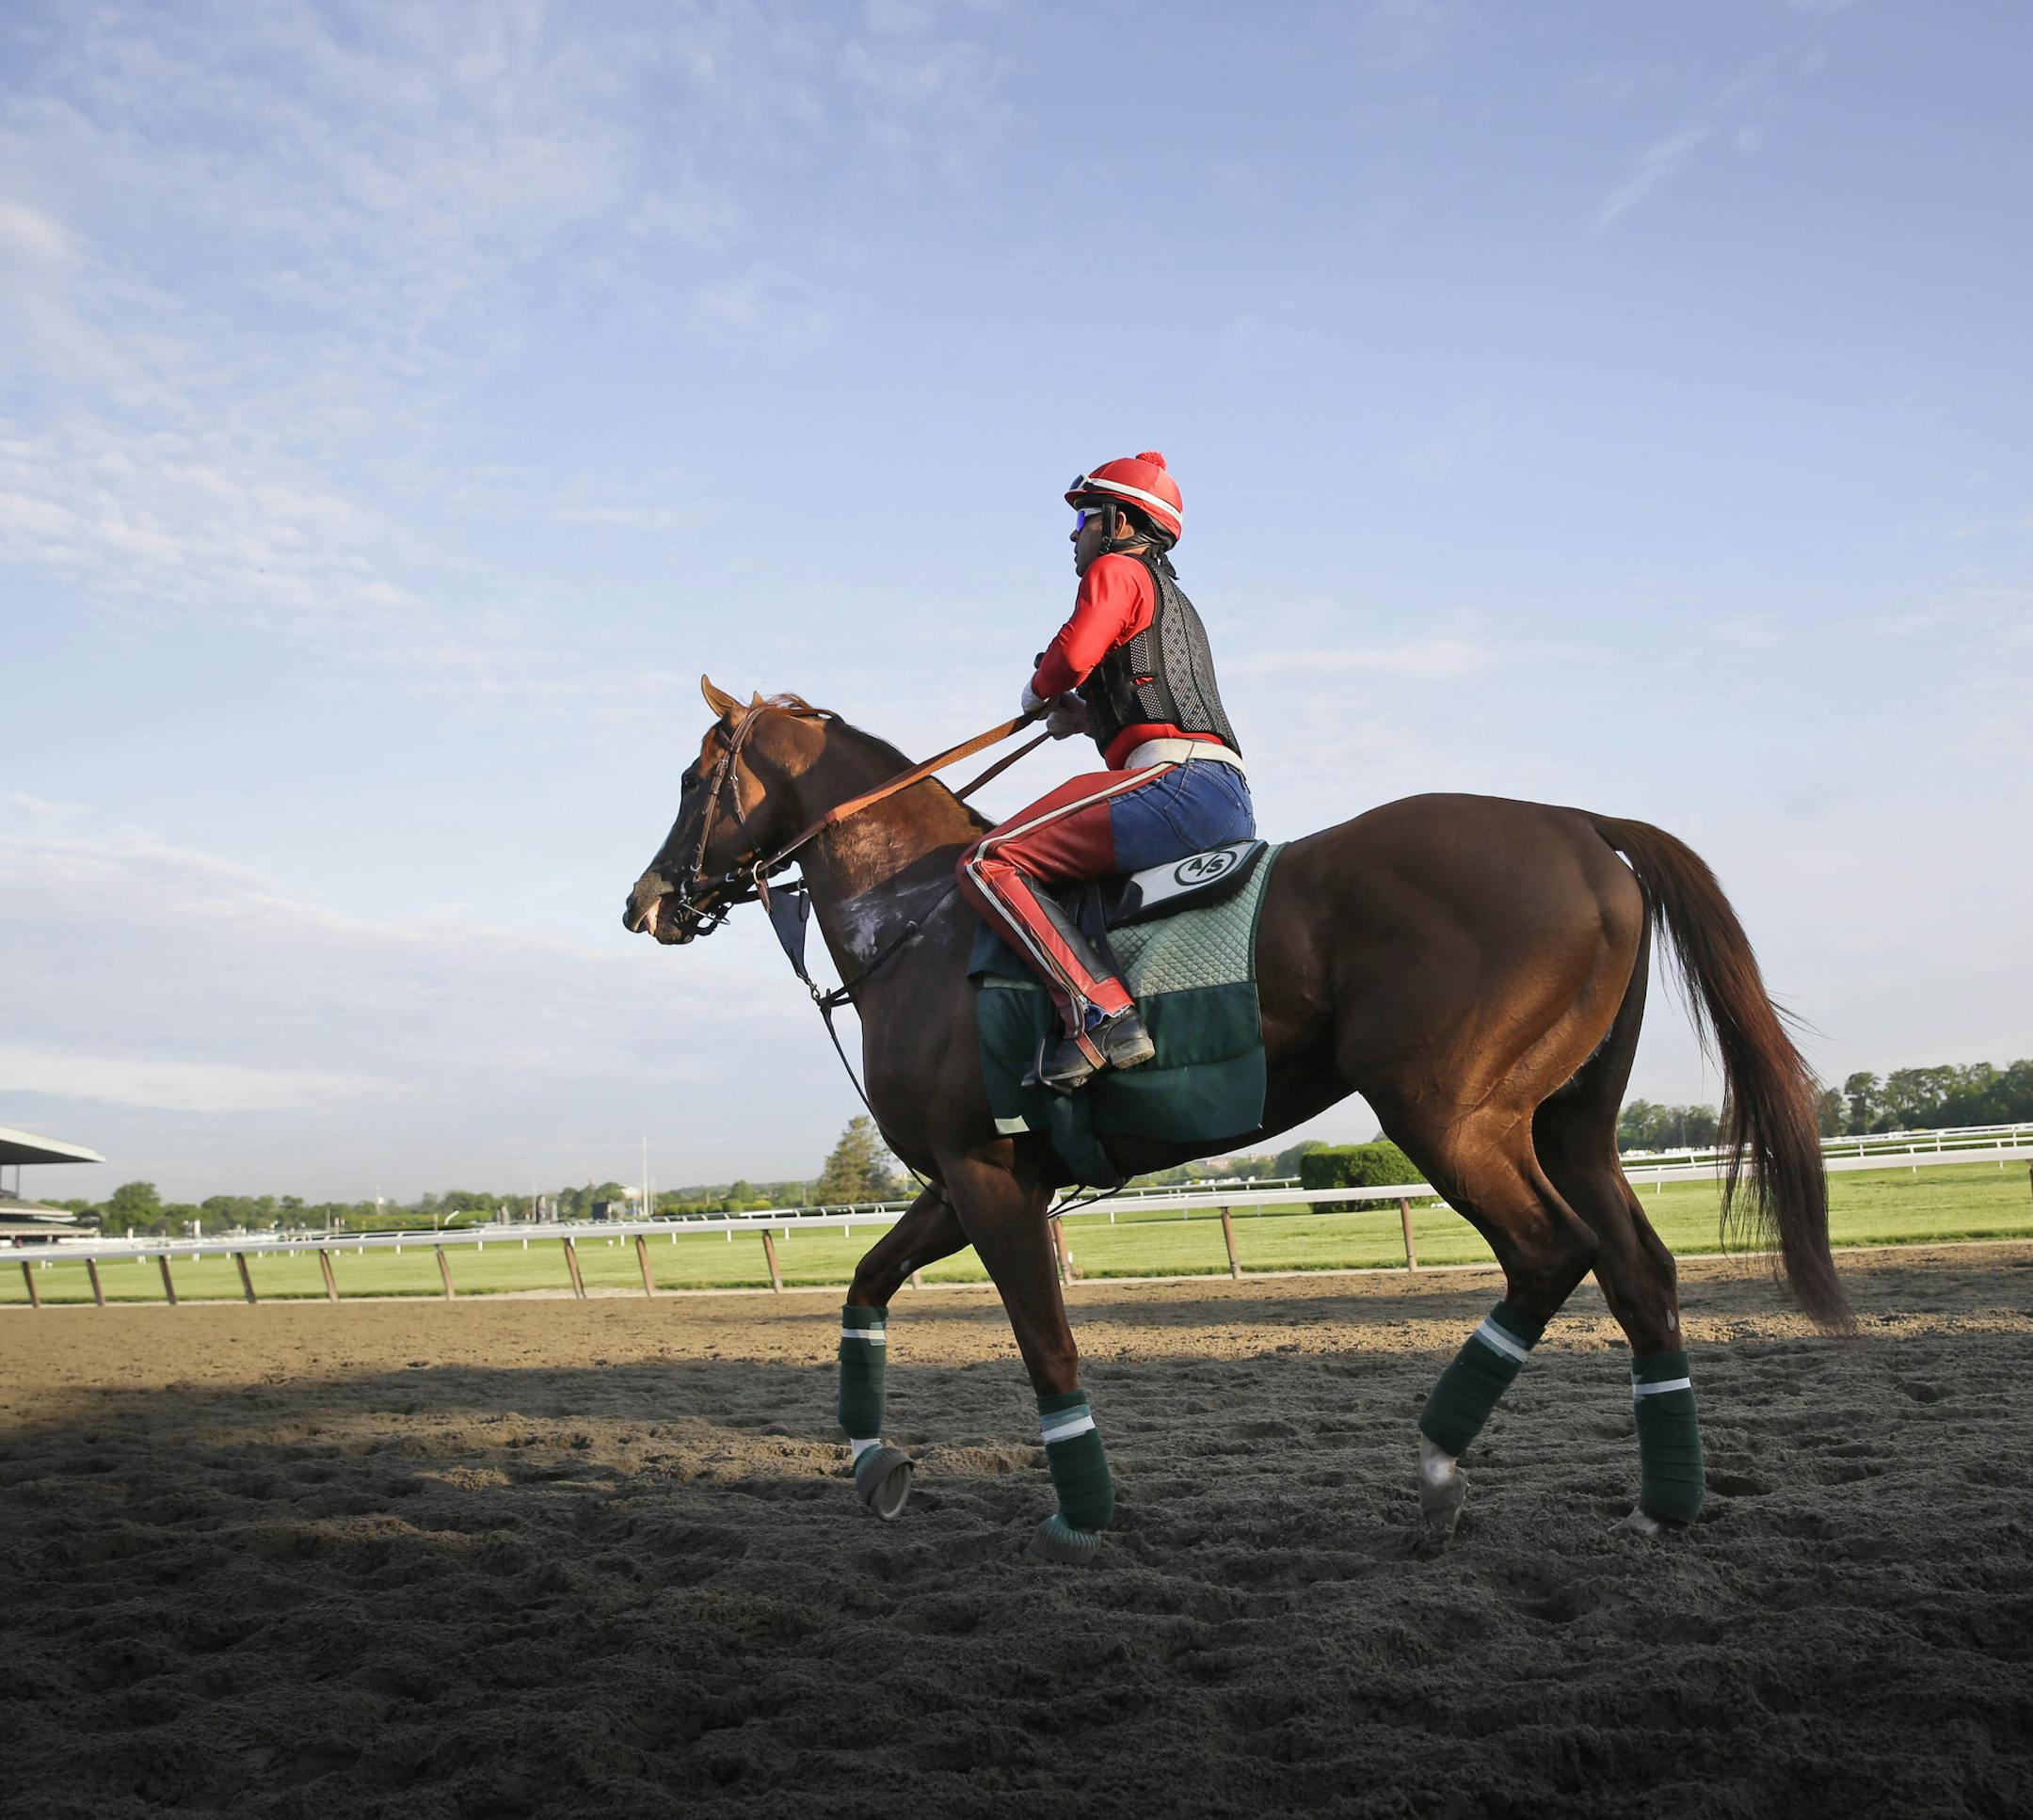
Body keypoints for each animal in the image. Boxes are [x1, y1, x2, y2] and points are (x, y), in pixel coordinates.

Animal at [624, 677, 1848, 1563]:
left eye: (692, 776)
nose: (644, 902)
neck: (920, 919)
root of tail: (1576, 822)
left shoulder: (986, 1175)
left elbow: (1045, 1341)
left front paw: (1079, 1514)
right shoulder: (964, 1181)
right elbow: (866, 1282)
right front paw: (875, 1459)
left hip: (1449, 1113)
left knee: (1552, 1253)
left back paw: (1438, 1467)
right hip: (1568, 1124)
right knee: (1641, 1271)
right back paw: (1662, 1502)